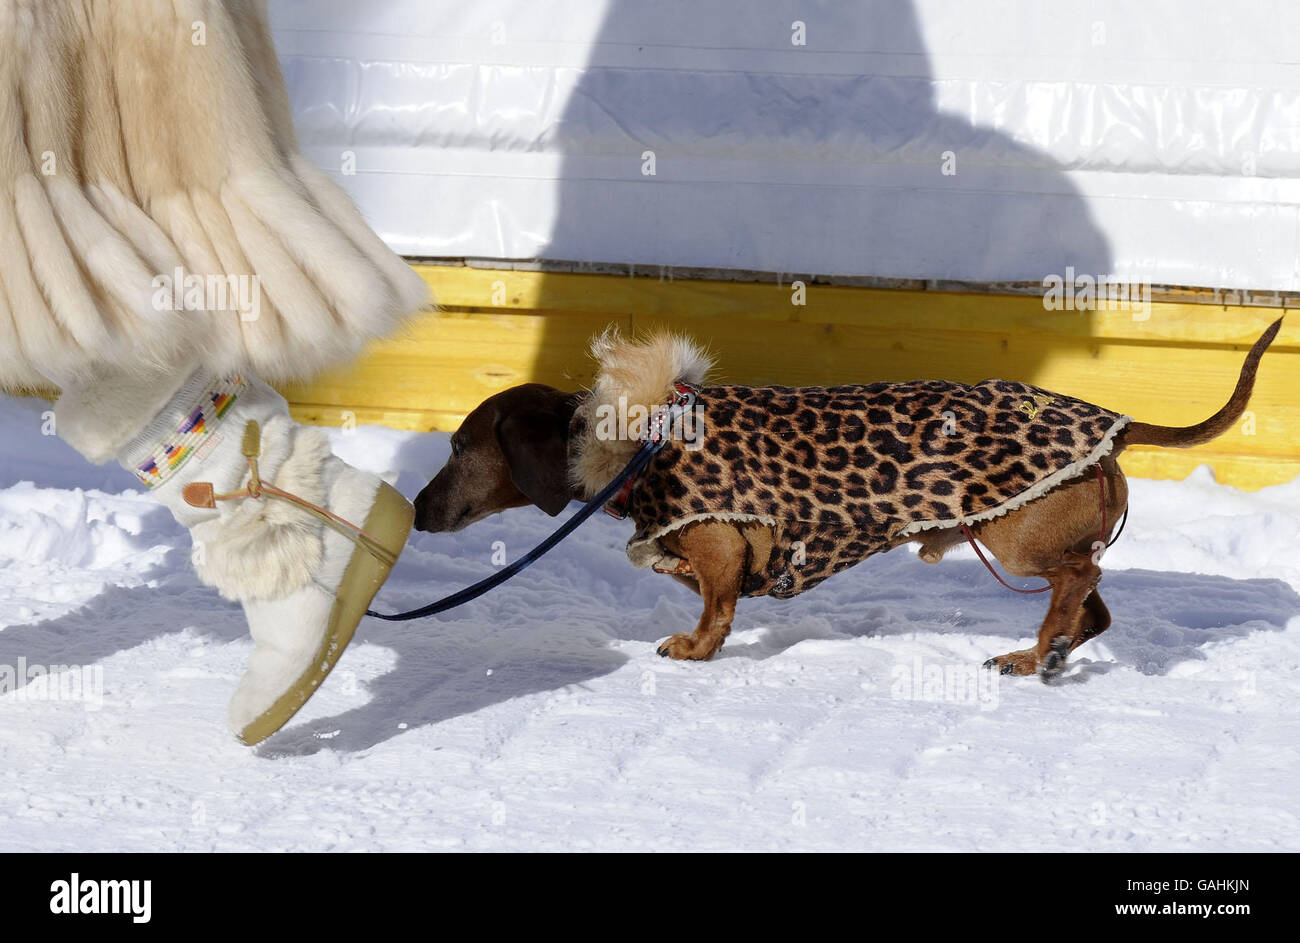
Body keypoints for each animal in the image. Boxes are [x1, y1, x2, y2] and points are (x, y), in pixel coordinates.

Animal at [413, 321, 1279, 676]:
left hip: (1016, 534)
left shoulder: (719, 539)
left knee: (1079, 579)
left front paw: (694, 649)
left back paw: (1035, 651)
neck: (641, 433)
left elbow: (716, 606)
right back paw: (1049, 651)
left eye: (457, 446)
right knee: (1090, 604)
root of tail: (1115, 424)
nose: (416, 509)